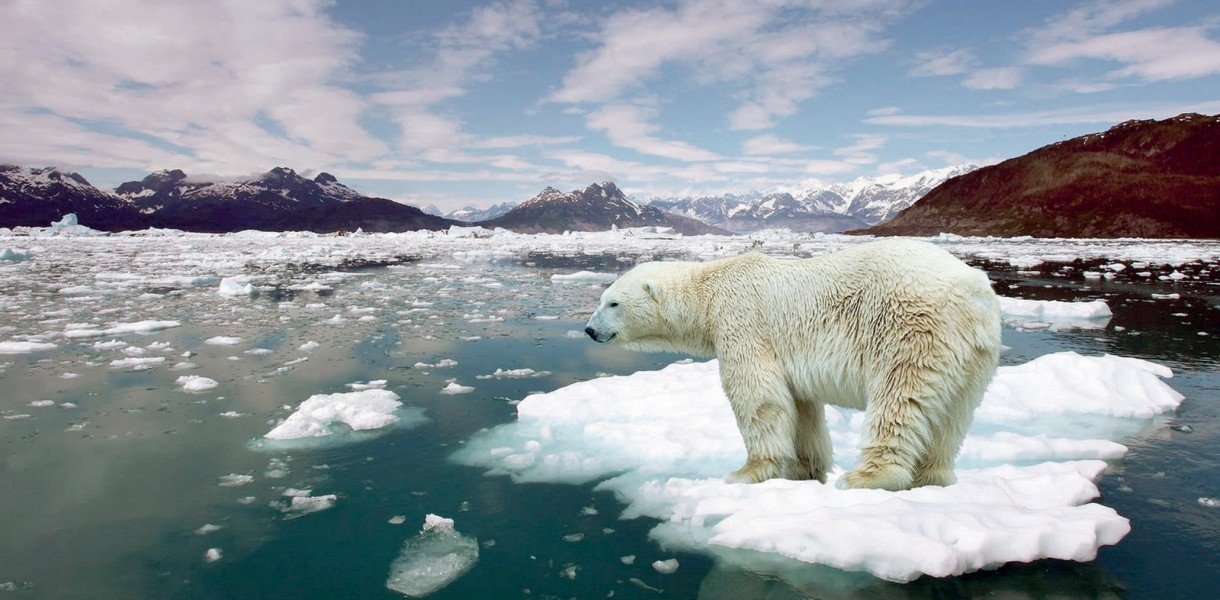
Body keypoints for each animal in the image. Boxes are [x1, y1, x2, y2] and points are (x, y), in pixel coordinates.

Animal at [583, 236, 1000, 490]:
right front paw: (804, 469)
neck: (710, 291)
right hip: (973, 356)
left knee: (899, 398)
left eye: (613, 303)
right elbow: (801, 407)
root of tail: (972, 291)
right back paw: (932, 477)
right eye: (602, 298)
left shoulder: (743, 322)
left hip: (910, 329)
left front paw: (747, 472)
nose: (589, 330)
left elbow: (758, 395)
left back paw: (867, 477)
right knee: (953, 415)